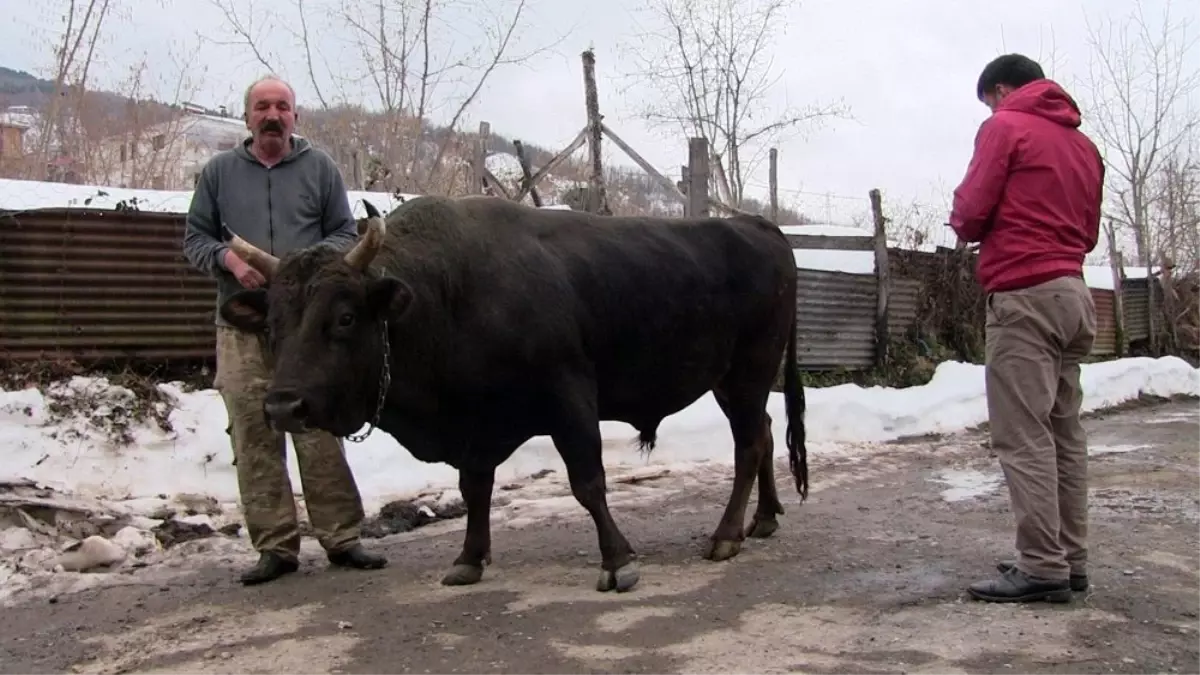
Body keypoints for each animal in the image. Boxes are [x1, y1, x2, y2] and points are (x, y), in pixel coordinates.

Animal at [220, 192, 811, 590]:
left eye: (344, 317)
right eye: (271, 324)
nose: (283, 405)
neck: (448, 292)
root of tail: (757, 225)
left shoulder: (570, 399)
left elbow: (587, 483)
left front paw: (618, 561)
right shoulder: (478, 425)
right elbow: (474, 489)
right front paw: (468, 559)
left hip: (749, 372)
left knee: (749, 445)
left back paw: (726, 535)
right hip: (731, 384)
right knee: (762, 434)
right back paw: (763, 519)